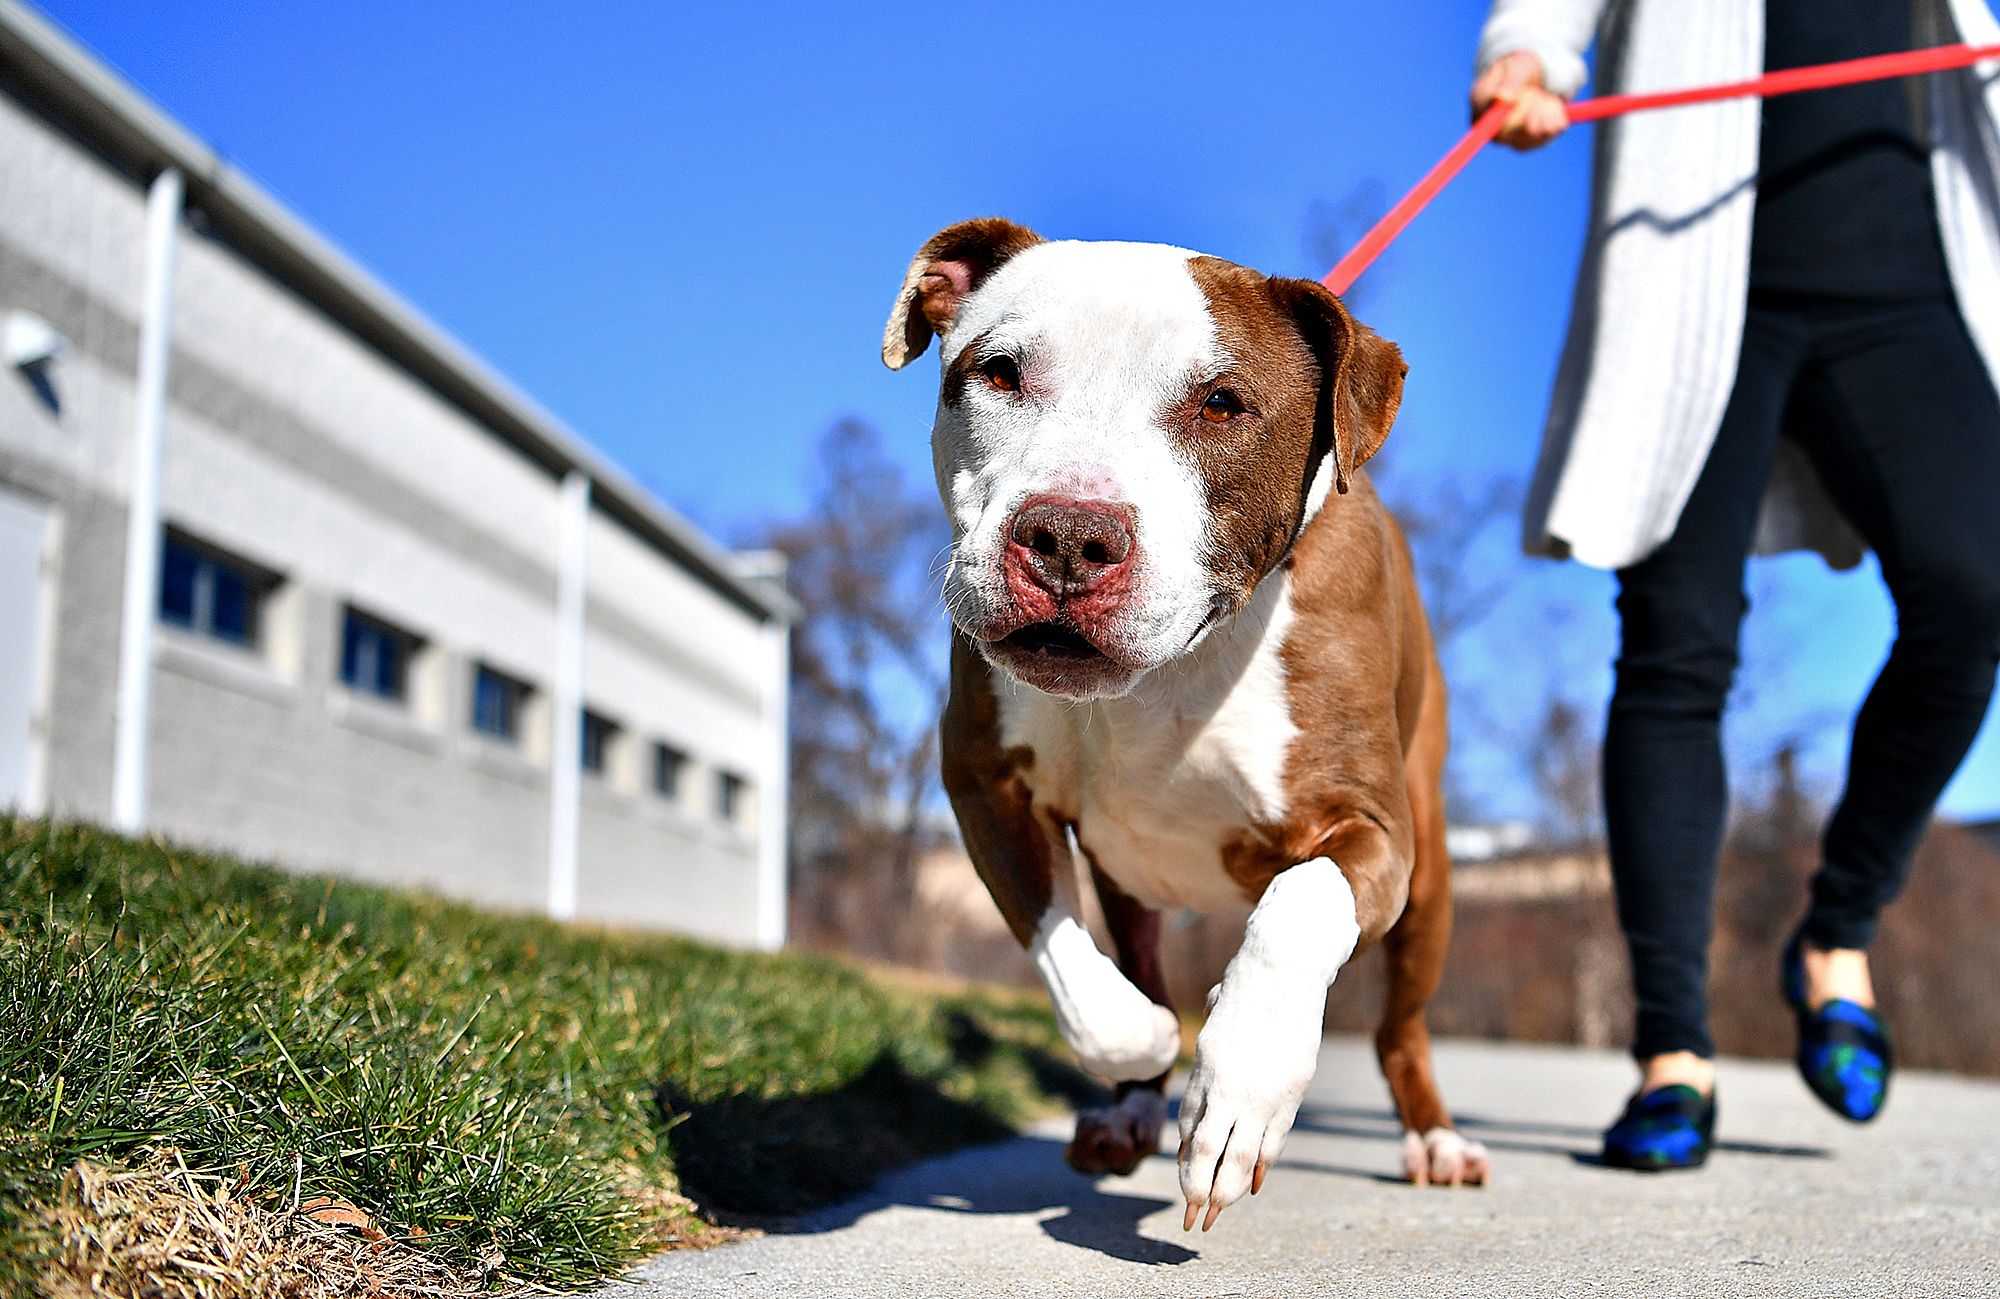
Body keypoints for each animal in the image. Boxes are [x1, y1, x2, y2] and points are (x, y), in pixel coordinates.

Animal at [880, 219, 1488, 1223]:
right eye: (1000, 371)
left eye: (1222, 404)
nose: (1067, 535)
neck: (1177, 670)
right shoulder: (984, 781)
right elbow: (1067, 957)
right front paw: (1147, 1044)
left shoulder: (1371, 829)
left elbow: (1298, 904)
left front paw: (1238, 1094)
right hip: (1132, 878)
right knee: (1134, 950)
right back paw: (1131, 1105)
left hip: (1431, 877)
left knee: (1400, 1027)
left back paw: (1434, 1136)